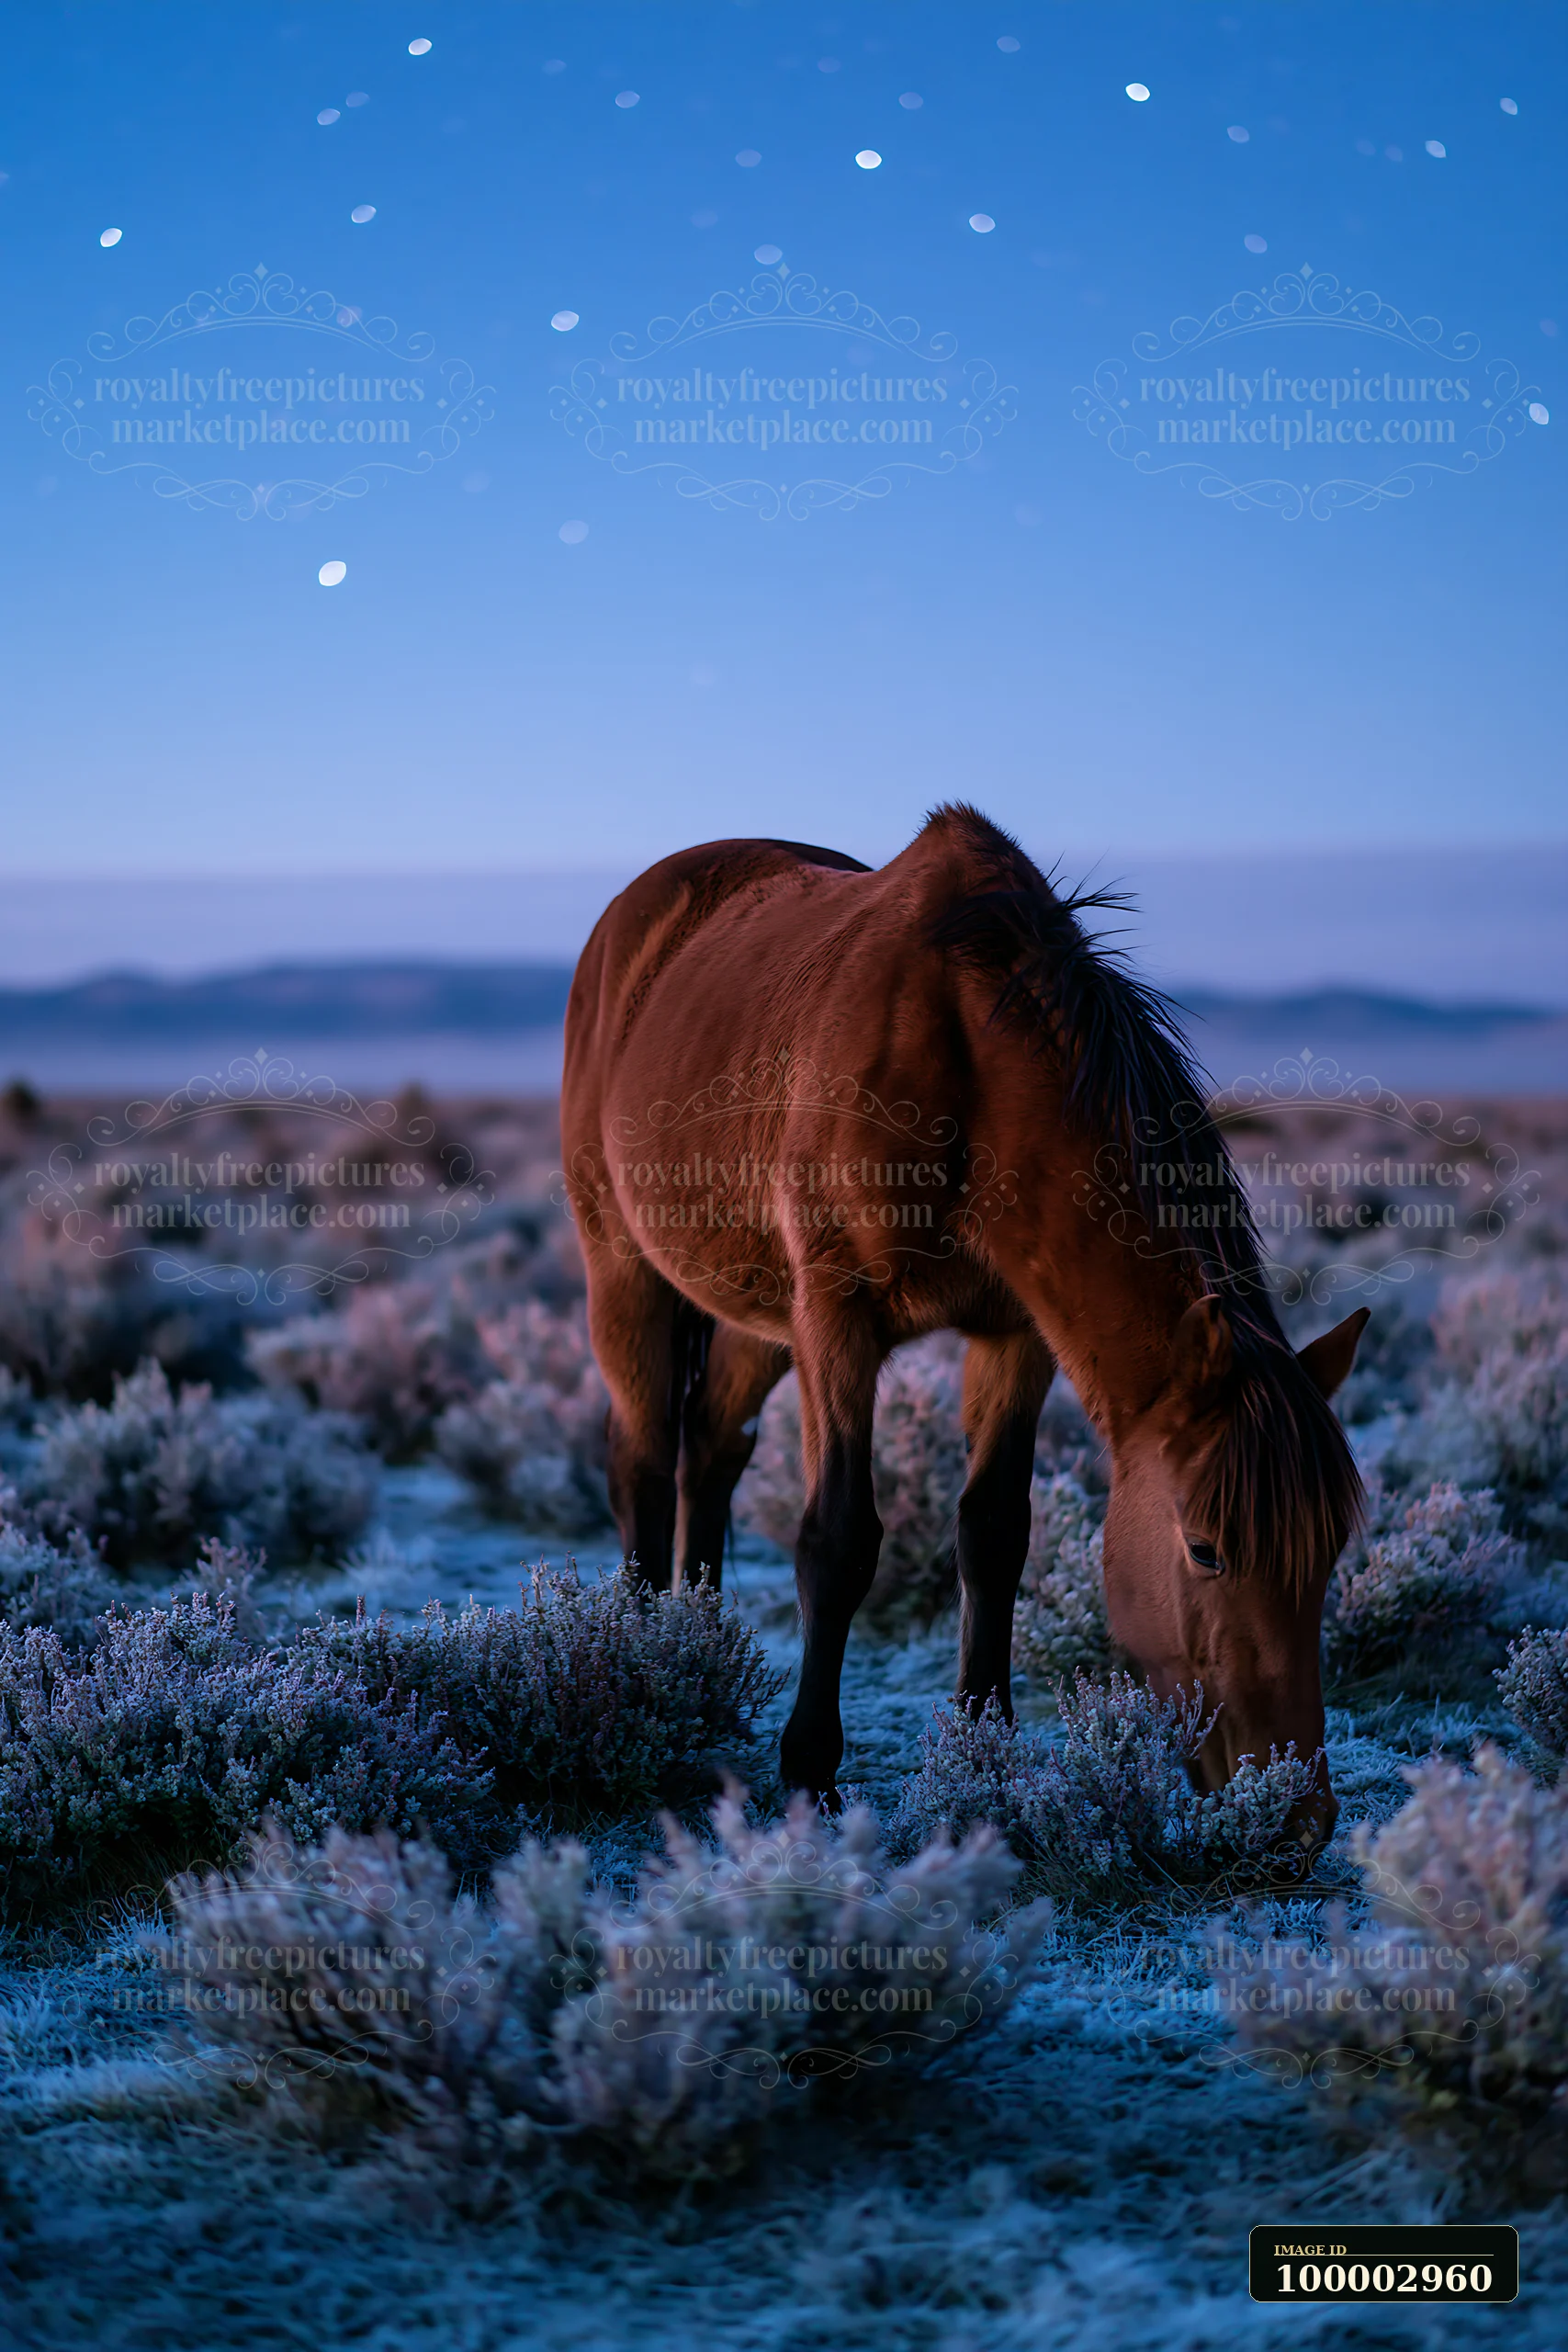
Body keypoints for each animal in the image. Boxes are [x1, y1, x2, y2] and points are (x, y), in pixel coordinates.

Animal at [561, 805, 1367, 1842]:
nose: (1297, 1815)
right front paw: (811, 1776)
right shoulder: (838, 1319)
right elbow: (837, 1541)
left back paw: (696, 1657)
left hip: (751, 1311)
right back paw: (644, 1665)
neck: (969, 1071)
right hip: (625, 1269)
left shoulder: (1015, 1333)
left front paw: (987, 1756)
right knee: (644, 1459)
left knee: (709, 1449)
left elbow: (994, 1533)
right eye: (1205, 1548)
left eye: (1331, 1548)